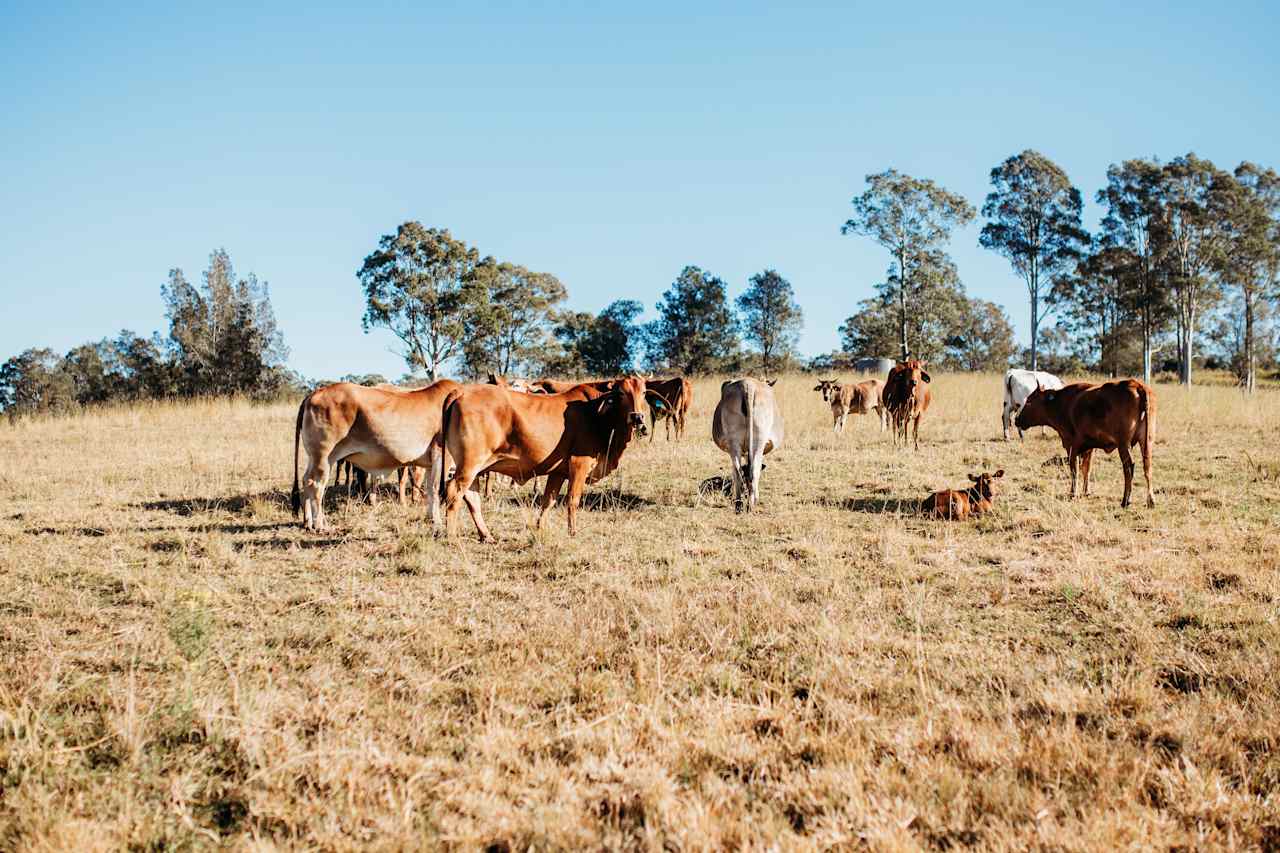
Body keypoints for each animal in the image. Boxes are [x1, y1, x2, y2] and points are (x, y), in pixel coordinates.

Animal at [293, 376, 460, 527]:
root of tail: (314, 394)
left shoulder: (431, 464)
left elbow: (429, 489)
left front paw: (430, 517)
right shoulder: (442, 456)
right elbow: (435, 488)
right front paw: (437, 523)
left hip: (314, 457)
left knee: (305, 480)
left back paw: (307, 522)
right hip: (324, 457)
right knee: (315, 484)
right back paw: (319, 524)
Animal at [440, 373, 650, 537]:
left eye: (644, 392)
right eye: (621, 393)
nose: (637, 417)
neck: (596, 412)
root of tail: (462, 391)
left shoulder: (557, 472)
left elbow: (548, 500)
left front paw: (540, 527)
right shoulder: (579, 465)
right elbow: (573, 500)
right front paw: (572, 532)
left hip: (473, 468)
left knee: (471, 498)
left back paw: (486, 536)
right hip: (469, 464)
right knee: (454, 493)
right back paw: (452, 537)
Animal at [711, 379, 778, 512]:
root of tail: (747, 384)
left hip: (735, 443)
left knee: (739, 471)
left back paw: (740, 503)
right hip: (758, 443)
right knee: (752, 470)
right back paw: (750, 503)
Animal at [1013, 376, 1157, 504]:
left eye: (1029, 401)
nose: (1016, 419)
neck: (1062, 403)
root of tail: (1137, 385)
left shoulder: (1072, 445)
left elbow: (1074, 469)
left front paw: (1073, 493)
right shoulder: (1089, 448)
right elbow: (1086, 468)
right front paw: (1086, 491)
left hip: (1123, 445)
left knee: (1129, 468)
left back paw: (1125, 500)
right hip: (1147, 441)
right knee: (1147, 466)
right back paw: (1150, 500)